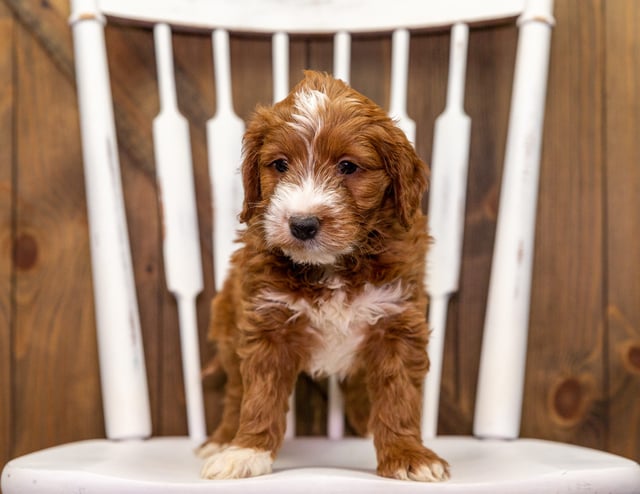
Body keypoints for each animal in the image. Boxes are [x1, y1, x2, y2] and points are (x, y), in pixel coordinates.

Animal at [200, 70, 450, 482]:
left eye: (348, 167)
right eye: (280, 165)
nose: (302, 224)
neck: (332, 265)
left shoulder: (396, 320)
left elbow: (398, 394)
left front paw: (408, 455)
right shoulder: (267, 324)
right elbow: (259, 396)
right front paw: (248, 450)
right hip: (228, 325)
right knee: (235, 390)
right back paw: (222, 441)